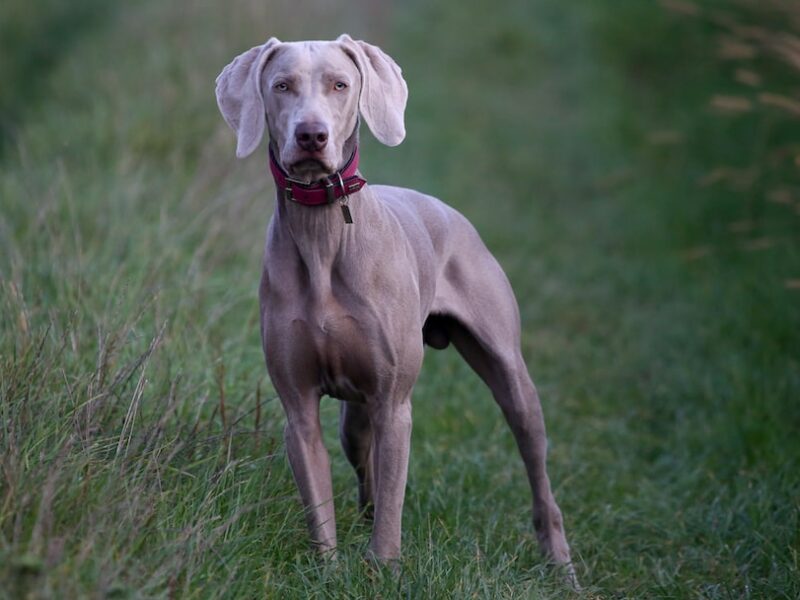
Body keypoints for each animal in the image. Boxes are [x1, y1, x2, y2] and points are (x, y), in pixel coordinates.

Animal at [212, 34, 576, 580]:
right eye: (281, 86)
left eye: (340, 85)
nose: (312, 135)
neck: (323, 232)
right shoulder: (300, 409)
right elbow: (320, 498)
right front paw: (330, 571)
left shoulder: (394, 403)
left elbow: (392, 499)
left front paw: (383, 566)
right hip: (355, 419)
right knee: (366, 467)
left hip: (510, 377)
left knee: (534, 464)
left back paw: (558, 558)